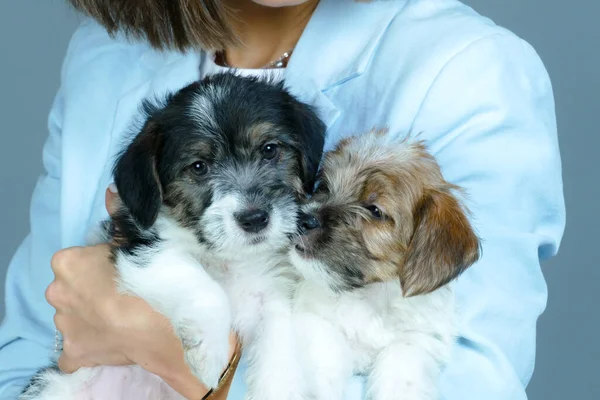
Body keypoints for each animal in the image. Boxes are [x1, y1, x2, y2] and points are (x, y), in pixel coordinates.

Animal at [19, 72, 324, 400]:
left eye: (269, 150)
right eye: (199, 167)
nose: (254, 219)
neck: (228, 257)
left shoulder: (273, 294)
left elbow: (279, 353)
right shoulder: (144, 249)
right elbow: (202, 285)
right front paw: (209, 350)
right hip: (54, 387)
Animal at [288, 130, 480, 400]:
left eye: (375, 211)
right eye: (324, 186)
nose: (303, 219)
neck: (370, 297)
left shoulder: (413, 343)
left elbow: (401, 380)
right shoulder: (316, 322)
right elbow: (323, 372)